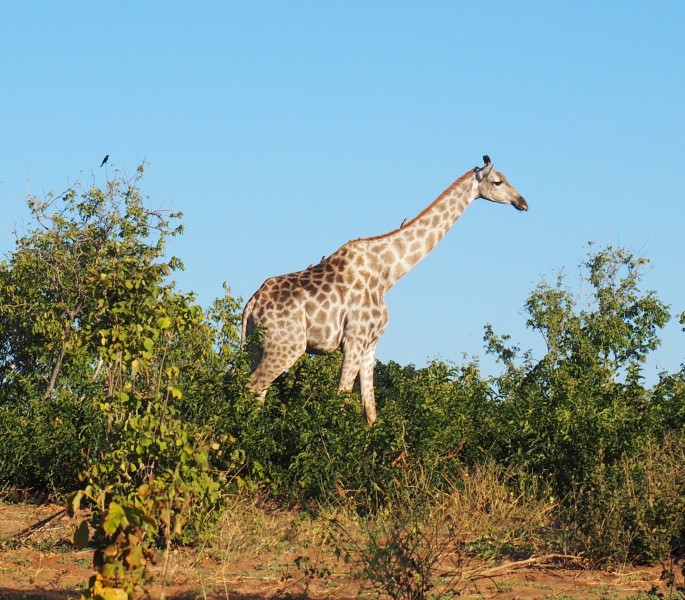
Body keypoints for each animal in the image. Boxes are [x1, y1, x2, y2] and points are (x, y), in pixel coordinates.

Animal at [243, 157, 528, 424]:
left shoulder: (371, 345)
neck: (388, 273)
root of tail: (252, 304)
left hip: (257, 347)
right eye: (498, 182)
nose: (523, 202)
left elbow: (370, 411)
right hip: (287, 346)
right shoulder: (355, 339)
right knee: (253, 387)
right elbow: (342, 399)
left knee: (253, 391)